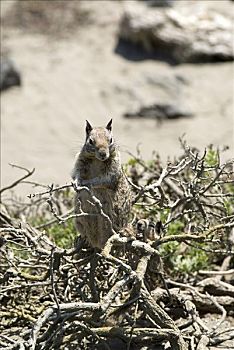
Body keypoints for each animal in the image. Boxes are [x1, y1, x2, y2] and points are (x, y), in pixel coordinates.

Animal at [71, 119, 133, 249]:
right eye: (90, 141)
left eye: (111, 139)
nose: (103, 153)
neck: (97, 160)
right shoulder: (80, 162)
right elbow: (76, 174)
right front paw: (76, 182)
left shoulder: (112, 172)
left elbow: (101, 180)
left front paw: (87, 183)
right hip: (79, 219)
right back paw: (82, 240)